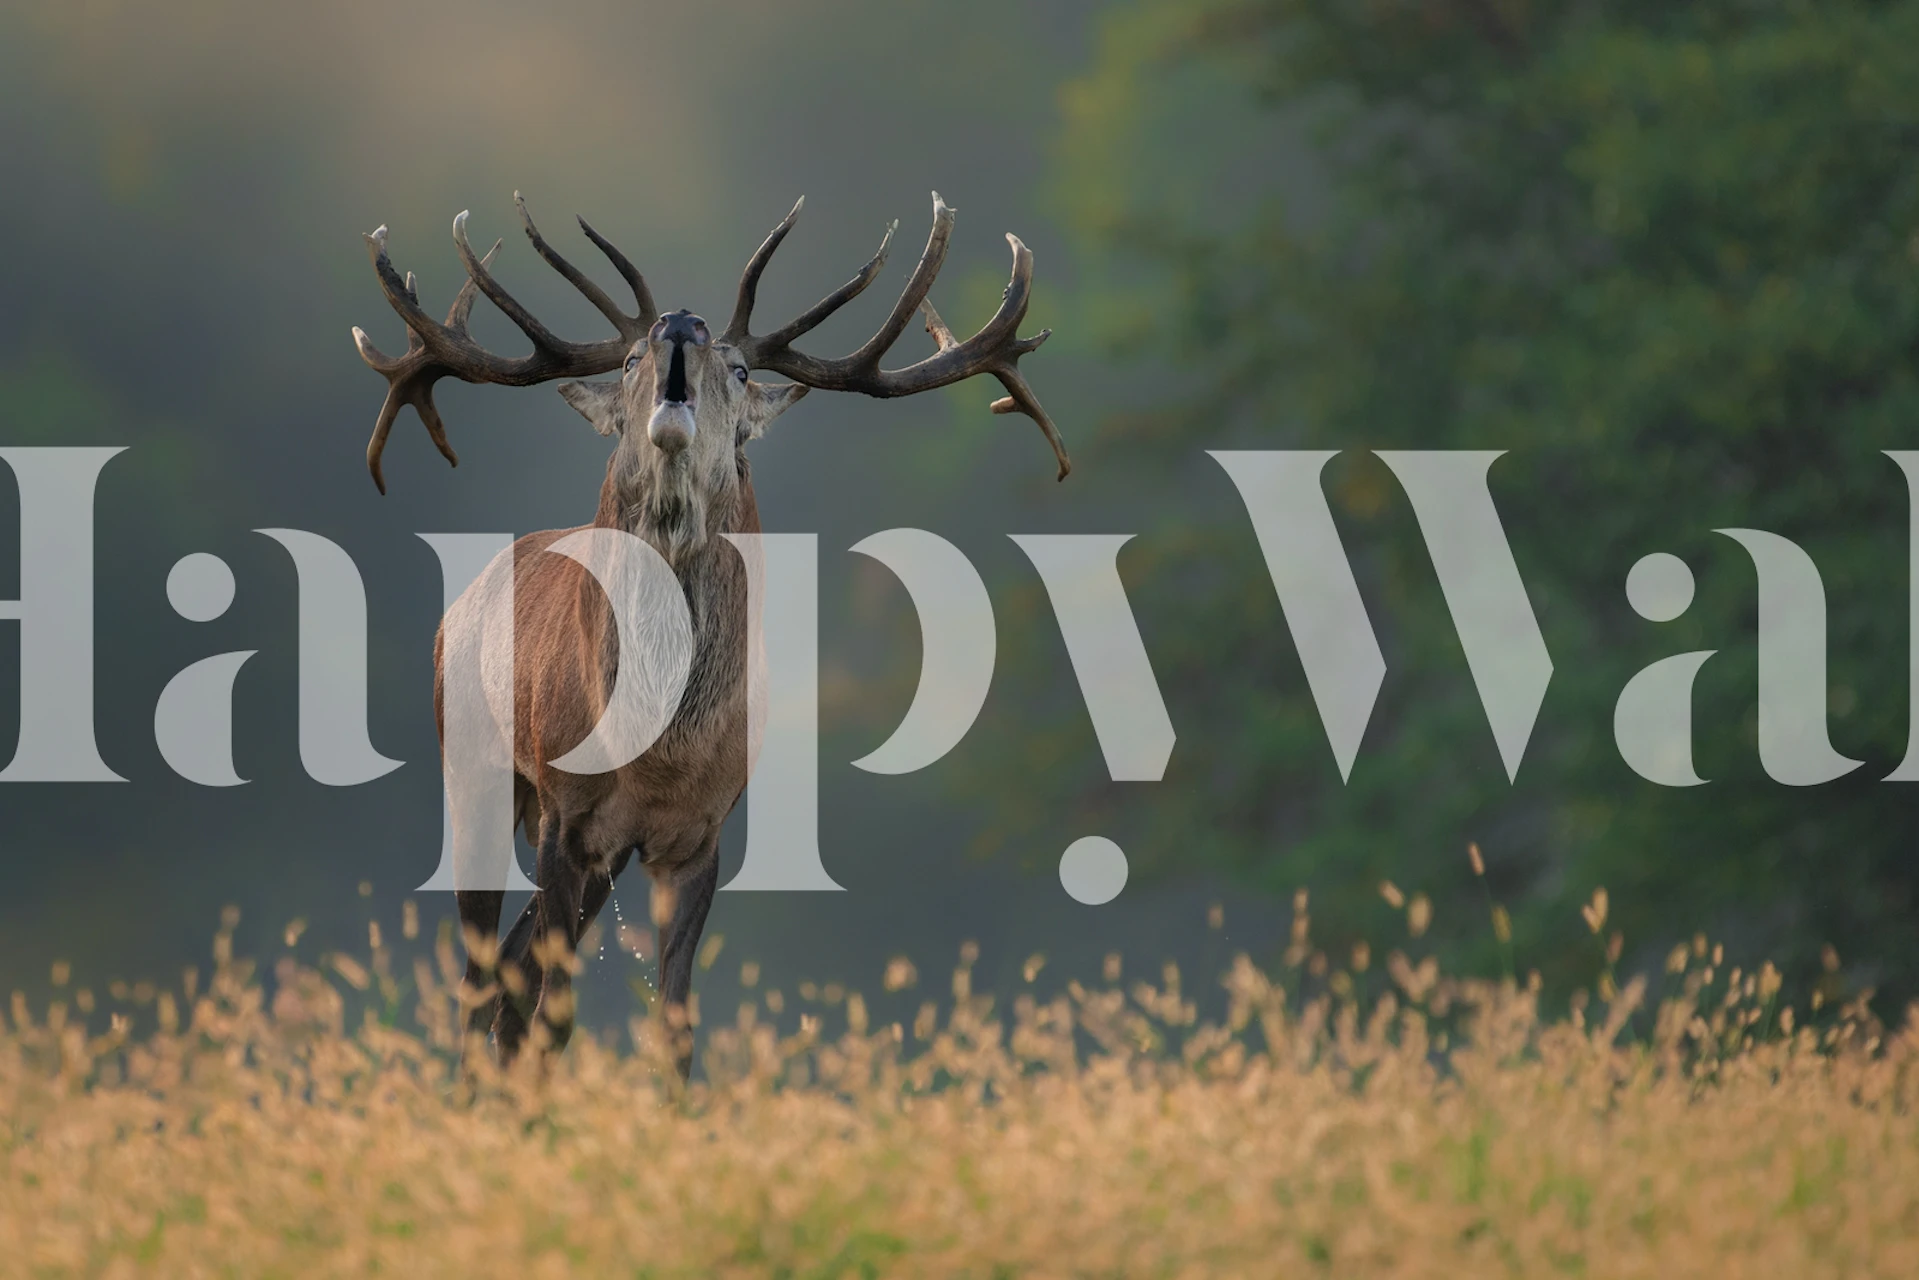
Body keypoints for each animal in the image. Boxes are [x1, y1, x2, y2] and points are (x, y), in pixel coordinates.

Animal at [351, 192, 1066, 1072]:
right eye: (628, 360)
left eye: (741, 370)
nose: (680, 324)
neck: (659, 748)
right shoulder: (564, 812)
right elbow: (558, 1016)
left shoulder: (700, 831)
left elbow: (675, 1026)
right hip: (476, 769)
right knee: (483, 984)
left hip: (598, 850)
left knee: (511, 982)